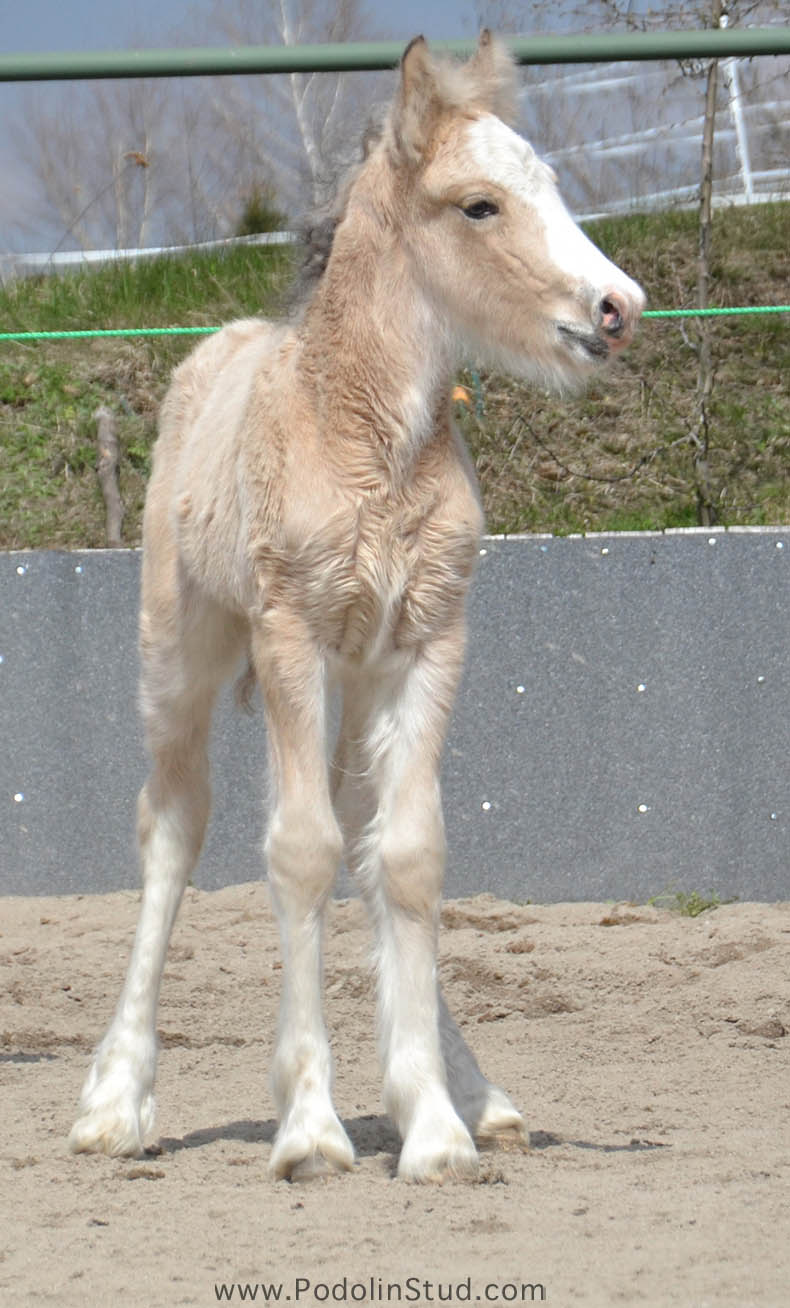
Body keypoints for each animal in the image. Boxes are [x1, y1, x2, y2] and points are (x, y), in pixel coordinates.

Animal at [70, 33, 646, 1187]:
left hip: (346, 685)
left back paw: (477, 1094)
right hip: (187, 656)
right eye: (479, 205)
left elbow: (408, 857)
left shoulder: (426, 644)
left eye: (552, 184)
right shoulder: (290, 633)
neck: (362, 432)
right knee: (174, 826)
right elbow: (296, 851)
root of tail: (218, 344)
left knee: (359, 837)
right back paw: (116, 1101)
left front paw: (435, 1124)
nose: (619, 307)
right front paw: (308, 1128)